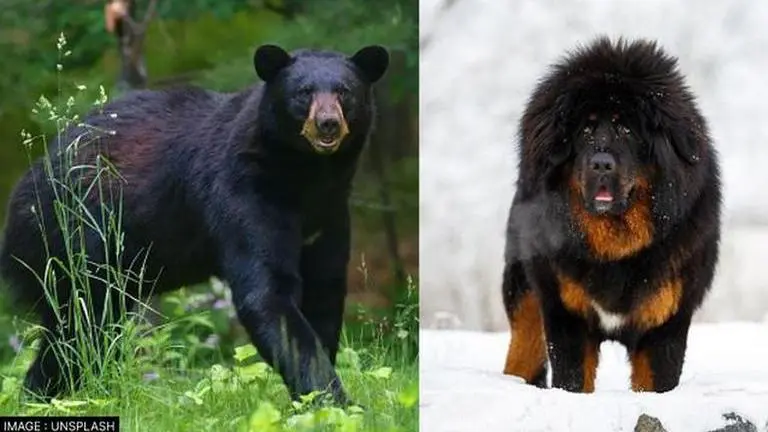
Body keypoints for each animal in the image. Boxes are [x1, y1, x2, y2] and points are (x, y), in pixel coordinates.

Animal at [0, 43, 390, 405]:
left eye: (344, 91)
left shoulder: (329, 213)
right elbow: (267, 292)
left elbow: (325, 289)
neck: (307, 177)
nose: (328, 123)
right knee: (82, 329)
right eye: (303, 92)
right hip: (72, 241)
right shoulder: (244, 193)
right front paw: (333, 400)